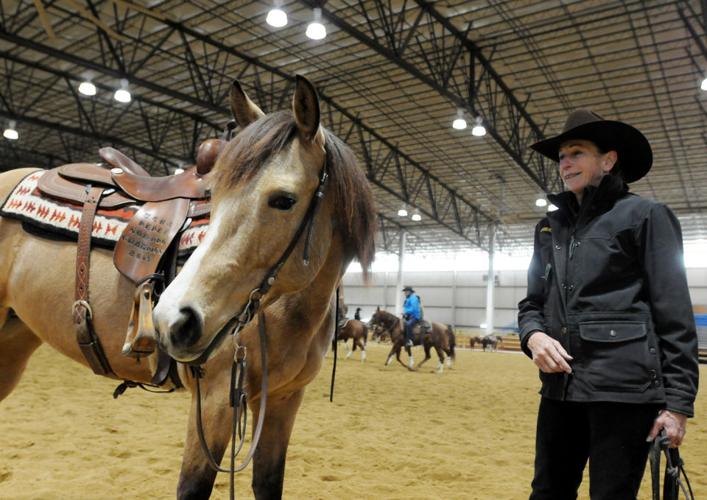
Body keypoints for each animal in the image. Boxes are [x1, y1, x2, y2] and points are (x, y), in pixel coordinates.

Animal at [0, 75, 376, 499]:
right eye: (216, 195)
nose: (172, 320)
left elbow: (267, 484)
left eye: (284, 199)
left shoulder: (282, 401)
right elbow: (193, 487)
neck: (286, 312)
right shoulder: (214, 401)